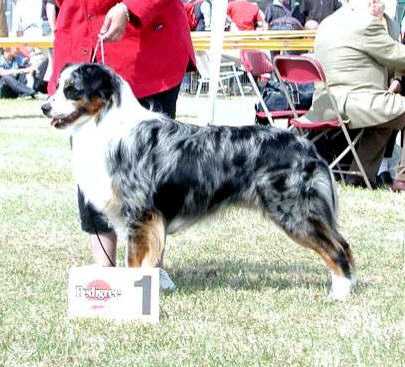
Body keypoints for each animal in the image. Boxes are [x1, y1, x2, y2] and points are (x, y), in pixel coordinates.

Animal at [42, 62, 356, 300]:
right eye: (56, 87)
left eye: (72, 90)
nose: (45, 108)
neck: (105, 124)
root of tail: (305, 145)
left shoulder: (140, 214)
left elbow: (134, 262)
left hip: (295, 211)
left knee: (337, 248)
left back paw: (340, 292)